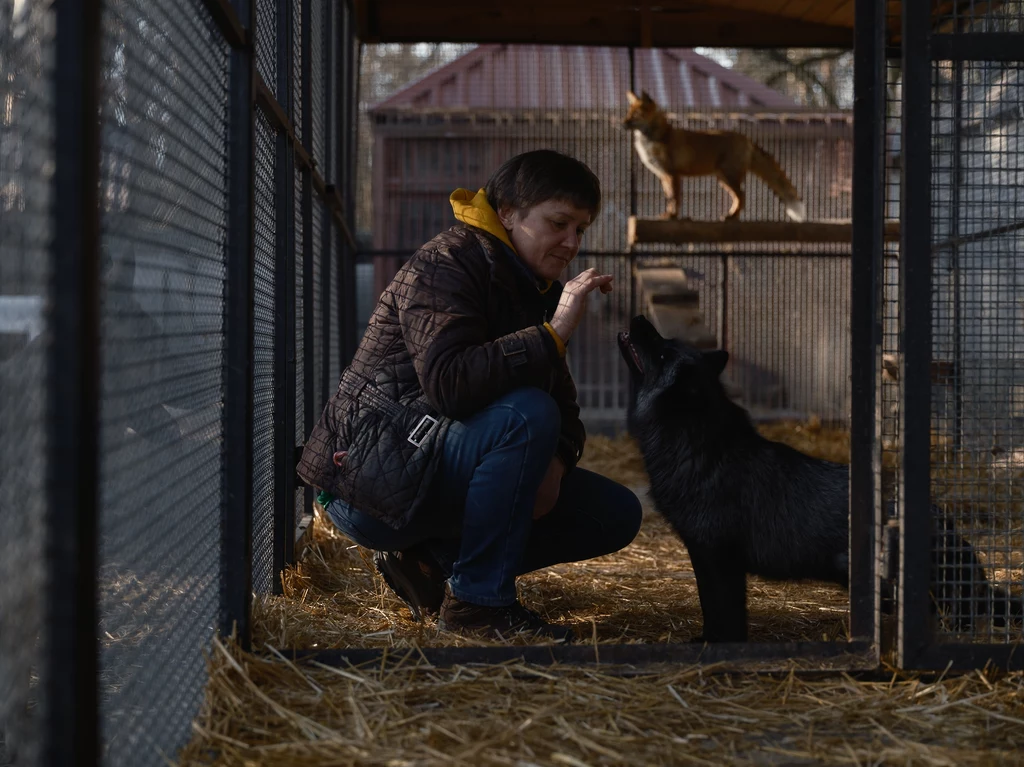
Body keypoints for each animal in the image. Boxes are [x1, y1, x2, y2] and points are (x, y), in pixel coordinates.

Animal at [618, 90, 802, 221]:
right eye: (628, 113)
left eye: (635, 115)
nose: (621, 124)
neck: (658, 137)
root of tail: (746, 138)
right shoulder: (664, 176)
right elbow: (670, 199)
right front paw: (667, 215)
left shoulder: (672, 174)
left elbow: (675, 199)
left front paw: (672, 216)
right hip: (723, 179)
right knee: (740, 197)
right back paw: (731, 216)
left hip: (729, 176)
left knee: (742, 196)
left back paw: (731, 217)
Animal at [618, 313, 1019, 643]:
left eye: (662, 353)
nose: (638, 317)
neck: (694, 446)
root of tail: (949, 527)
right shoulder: (705, 553)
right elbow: (714, 608)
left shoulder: (717, 554)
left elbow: (723, 612)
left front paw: (718, 645)